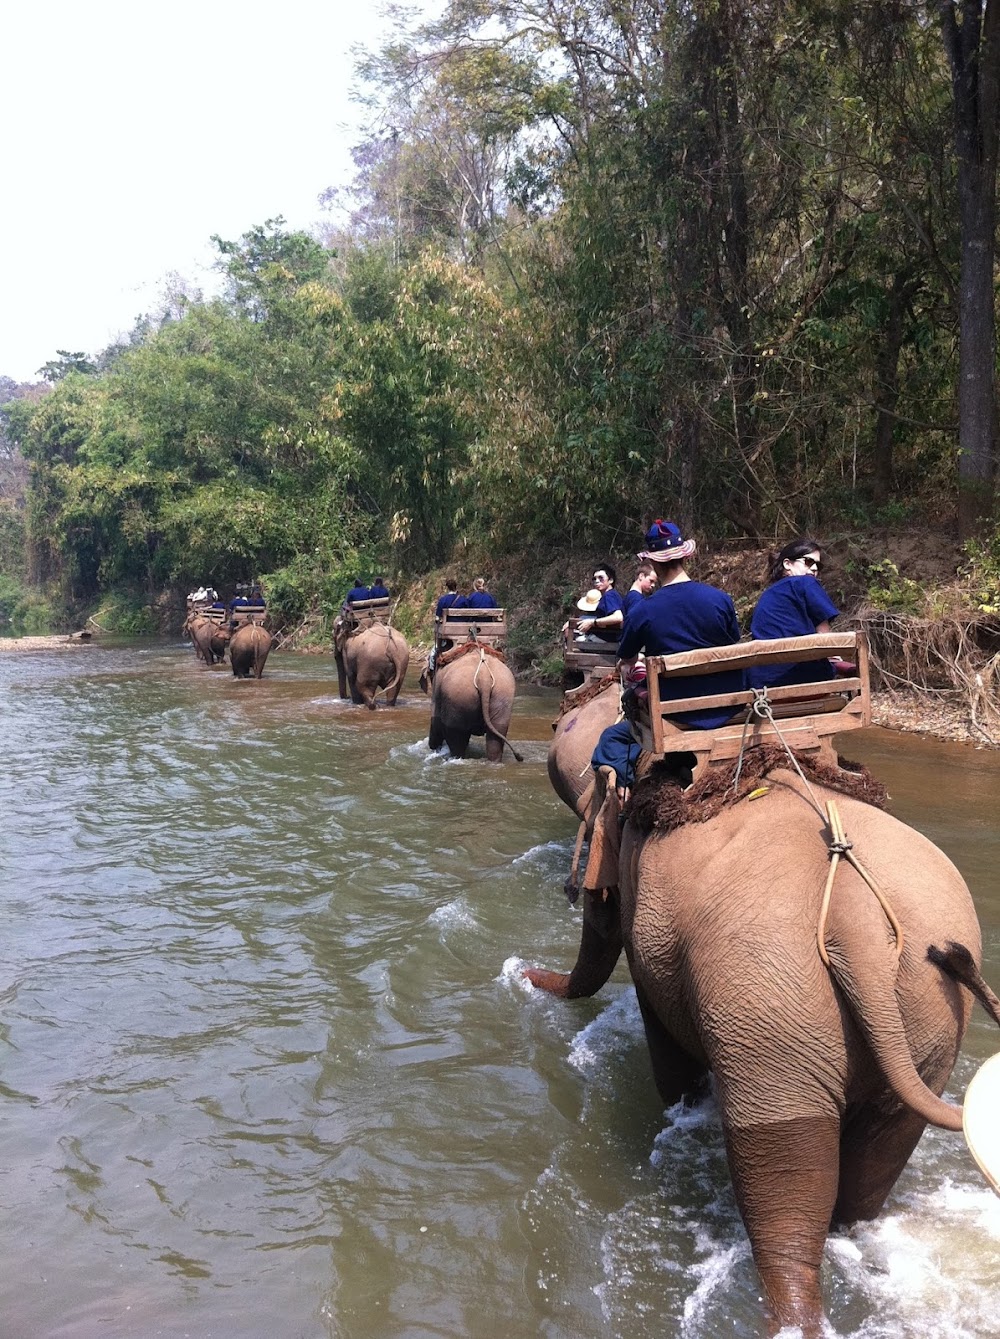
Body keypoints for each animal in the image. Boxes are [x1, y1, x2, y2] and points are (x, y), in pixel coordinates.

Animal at [527, 755, 995, 1339]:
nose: (523, 973)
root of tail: (858, 931)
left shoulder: (647, 939)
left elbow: (666, 1049)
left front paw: (681, 1107)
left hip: (769, 1014)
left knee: (785, 1179)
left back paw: (789, 1315)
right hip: (928, 1021)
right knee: (876, 1160)